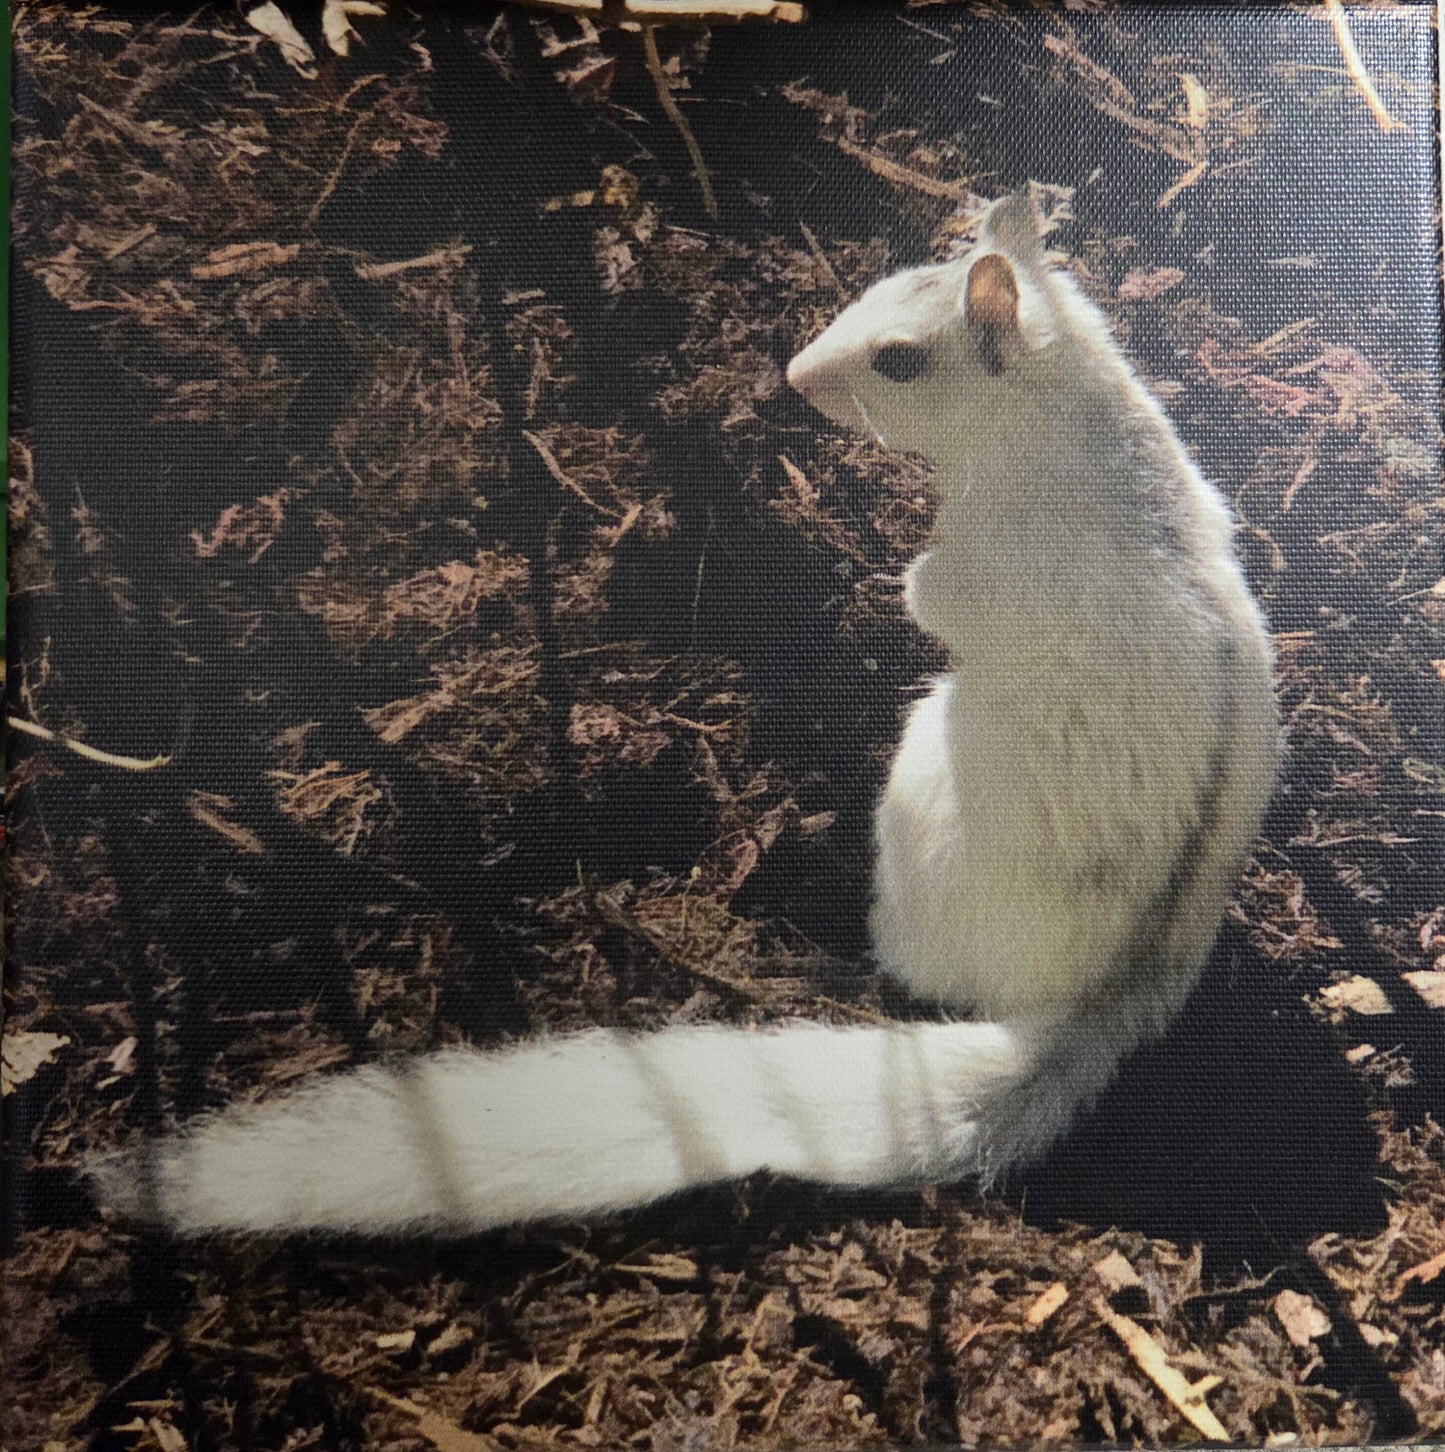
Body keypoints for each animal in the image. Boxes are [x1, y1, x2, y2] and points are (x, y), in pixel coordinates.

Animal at [91, 190, 1279, 1236]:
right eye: (879, 283)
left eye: (899, 358)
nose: (792, 374)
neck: (1065, 416)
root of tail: (1093, 1005)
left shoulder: (994, 570)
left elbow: (934, 596)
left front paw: (890, 581)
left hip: (919, 797)